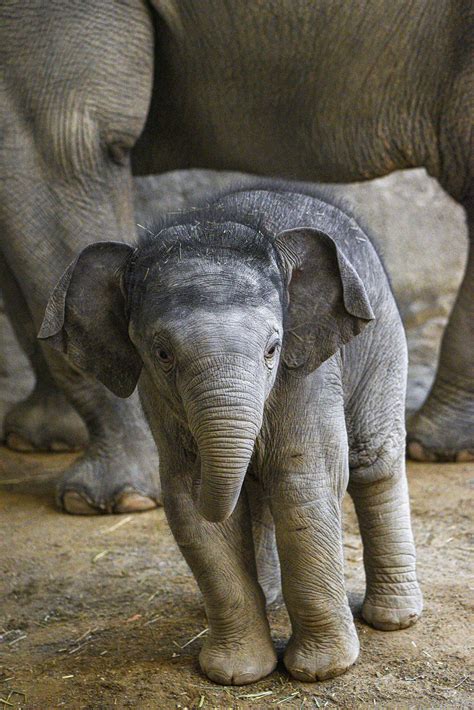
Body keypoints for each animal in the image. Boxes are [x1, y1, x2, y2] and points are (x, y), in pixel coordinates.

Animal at [39, 186, 420, 688]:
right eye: (162, 354)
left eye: (273, 349)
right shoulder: (158, 399)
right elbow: (190, 508)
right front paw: (237, 674)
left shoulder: (308, 371)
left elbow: (302, 484)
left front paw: (321, 671)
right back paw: (272, 597)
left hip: (383, 340)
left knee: (372, 462)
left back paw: (394, 620)